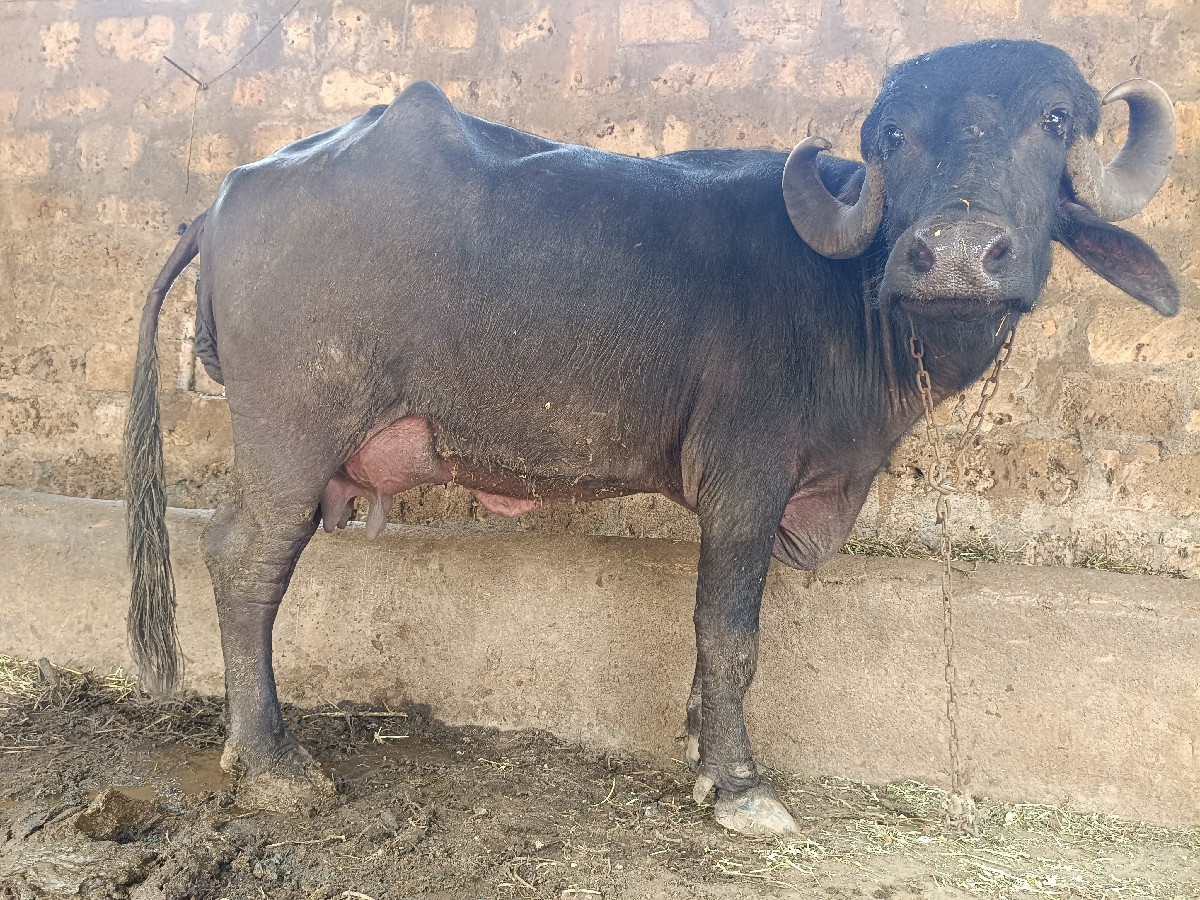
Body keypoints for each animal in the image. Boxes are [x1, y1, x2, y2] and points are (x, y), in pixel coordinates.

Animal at [126, 39, 1178, 837]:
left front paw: (701, 749)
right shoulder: (747, 482)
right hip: (293, 434)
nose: (956, 254)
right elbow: (730, 633)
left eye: (1054, 120)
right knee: (244, 558)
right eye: (894, 135)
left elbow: (717, 638)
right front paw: (741, 784)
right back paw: (273, 764)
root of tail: (227, 196)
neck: (854, 308)